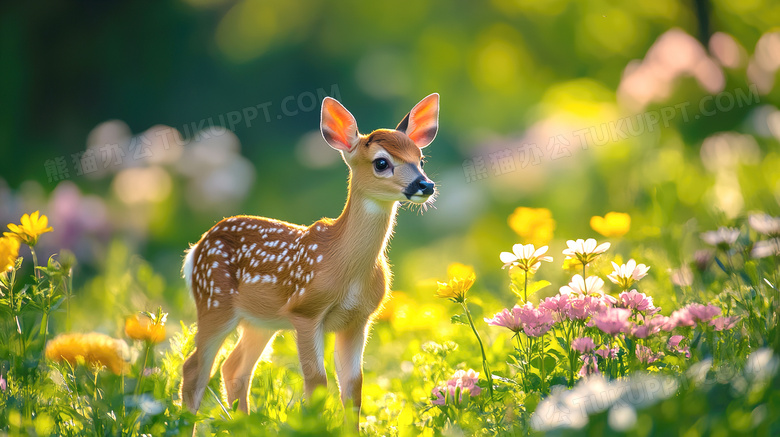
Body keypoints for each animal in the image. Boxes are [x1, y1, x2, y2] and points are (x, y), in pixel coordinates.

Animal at [181, 92, 442, 422]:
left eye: (420, 159)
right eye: (382, 163)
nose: (425, 185)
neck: (344, 264)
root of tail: (195, 249)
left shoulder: (359, 319)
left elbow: (353, 386)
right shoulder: (305, 310)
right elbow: (316, 382)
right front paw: (314, 424)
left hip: (259, 321)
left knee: (234, 368)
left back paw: (243, 423)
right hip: (214, 301)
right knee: (195, 369)